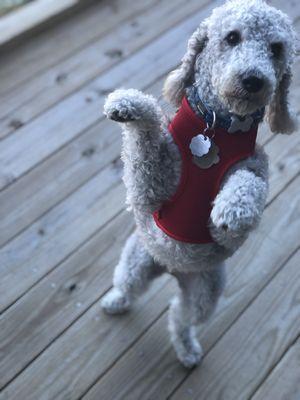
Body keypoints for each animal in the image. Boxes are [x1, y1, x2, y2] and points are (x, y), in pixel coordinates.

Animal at [101, 0, 298, 368]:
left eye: (277, 49)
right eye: (232, 37)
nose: (253, 79)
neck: (217, 126)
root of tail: (171, 268)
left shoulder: (227, 229)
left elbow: (247, 184)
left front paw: (234, 208)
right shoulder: (148, 194)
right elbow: (147, 136)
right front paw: (129, 104)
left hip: (205, 293)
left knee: (179, 317)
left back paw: (187, 349)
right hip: (136, 262)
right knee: (128, 286)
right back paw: (115, 301)